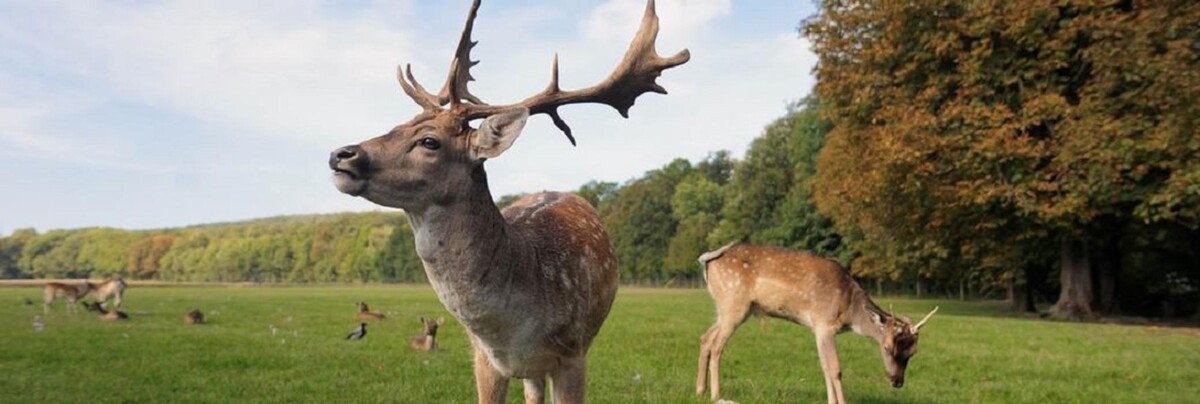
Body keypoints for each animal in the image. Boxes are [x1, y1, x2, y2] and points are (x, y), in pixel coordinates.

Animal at [327, 1, 687, 402]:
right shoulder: (483, 357)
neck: (509, 328)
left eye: (429, 141)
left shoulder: (573, 352)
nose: (341, 154)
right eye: (397, 125)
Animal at [695, 243, 938, 404]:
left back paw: (700, 390)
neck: (849, 310)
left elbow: (824, 367)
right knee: (717, 345)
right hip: (734, 304)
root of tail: (707, 259)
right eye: (887, 348)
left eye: (913, 352)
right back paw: (716, 395)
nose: (897, 381)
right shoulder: (825, 324)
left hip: (728, 309)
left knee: (705, 338)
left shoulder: (819, 330)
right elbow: (835, 369)